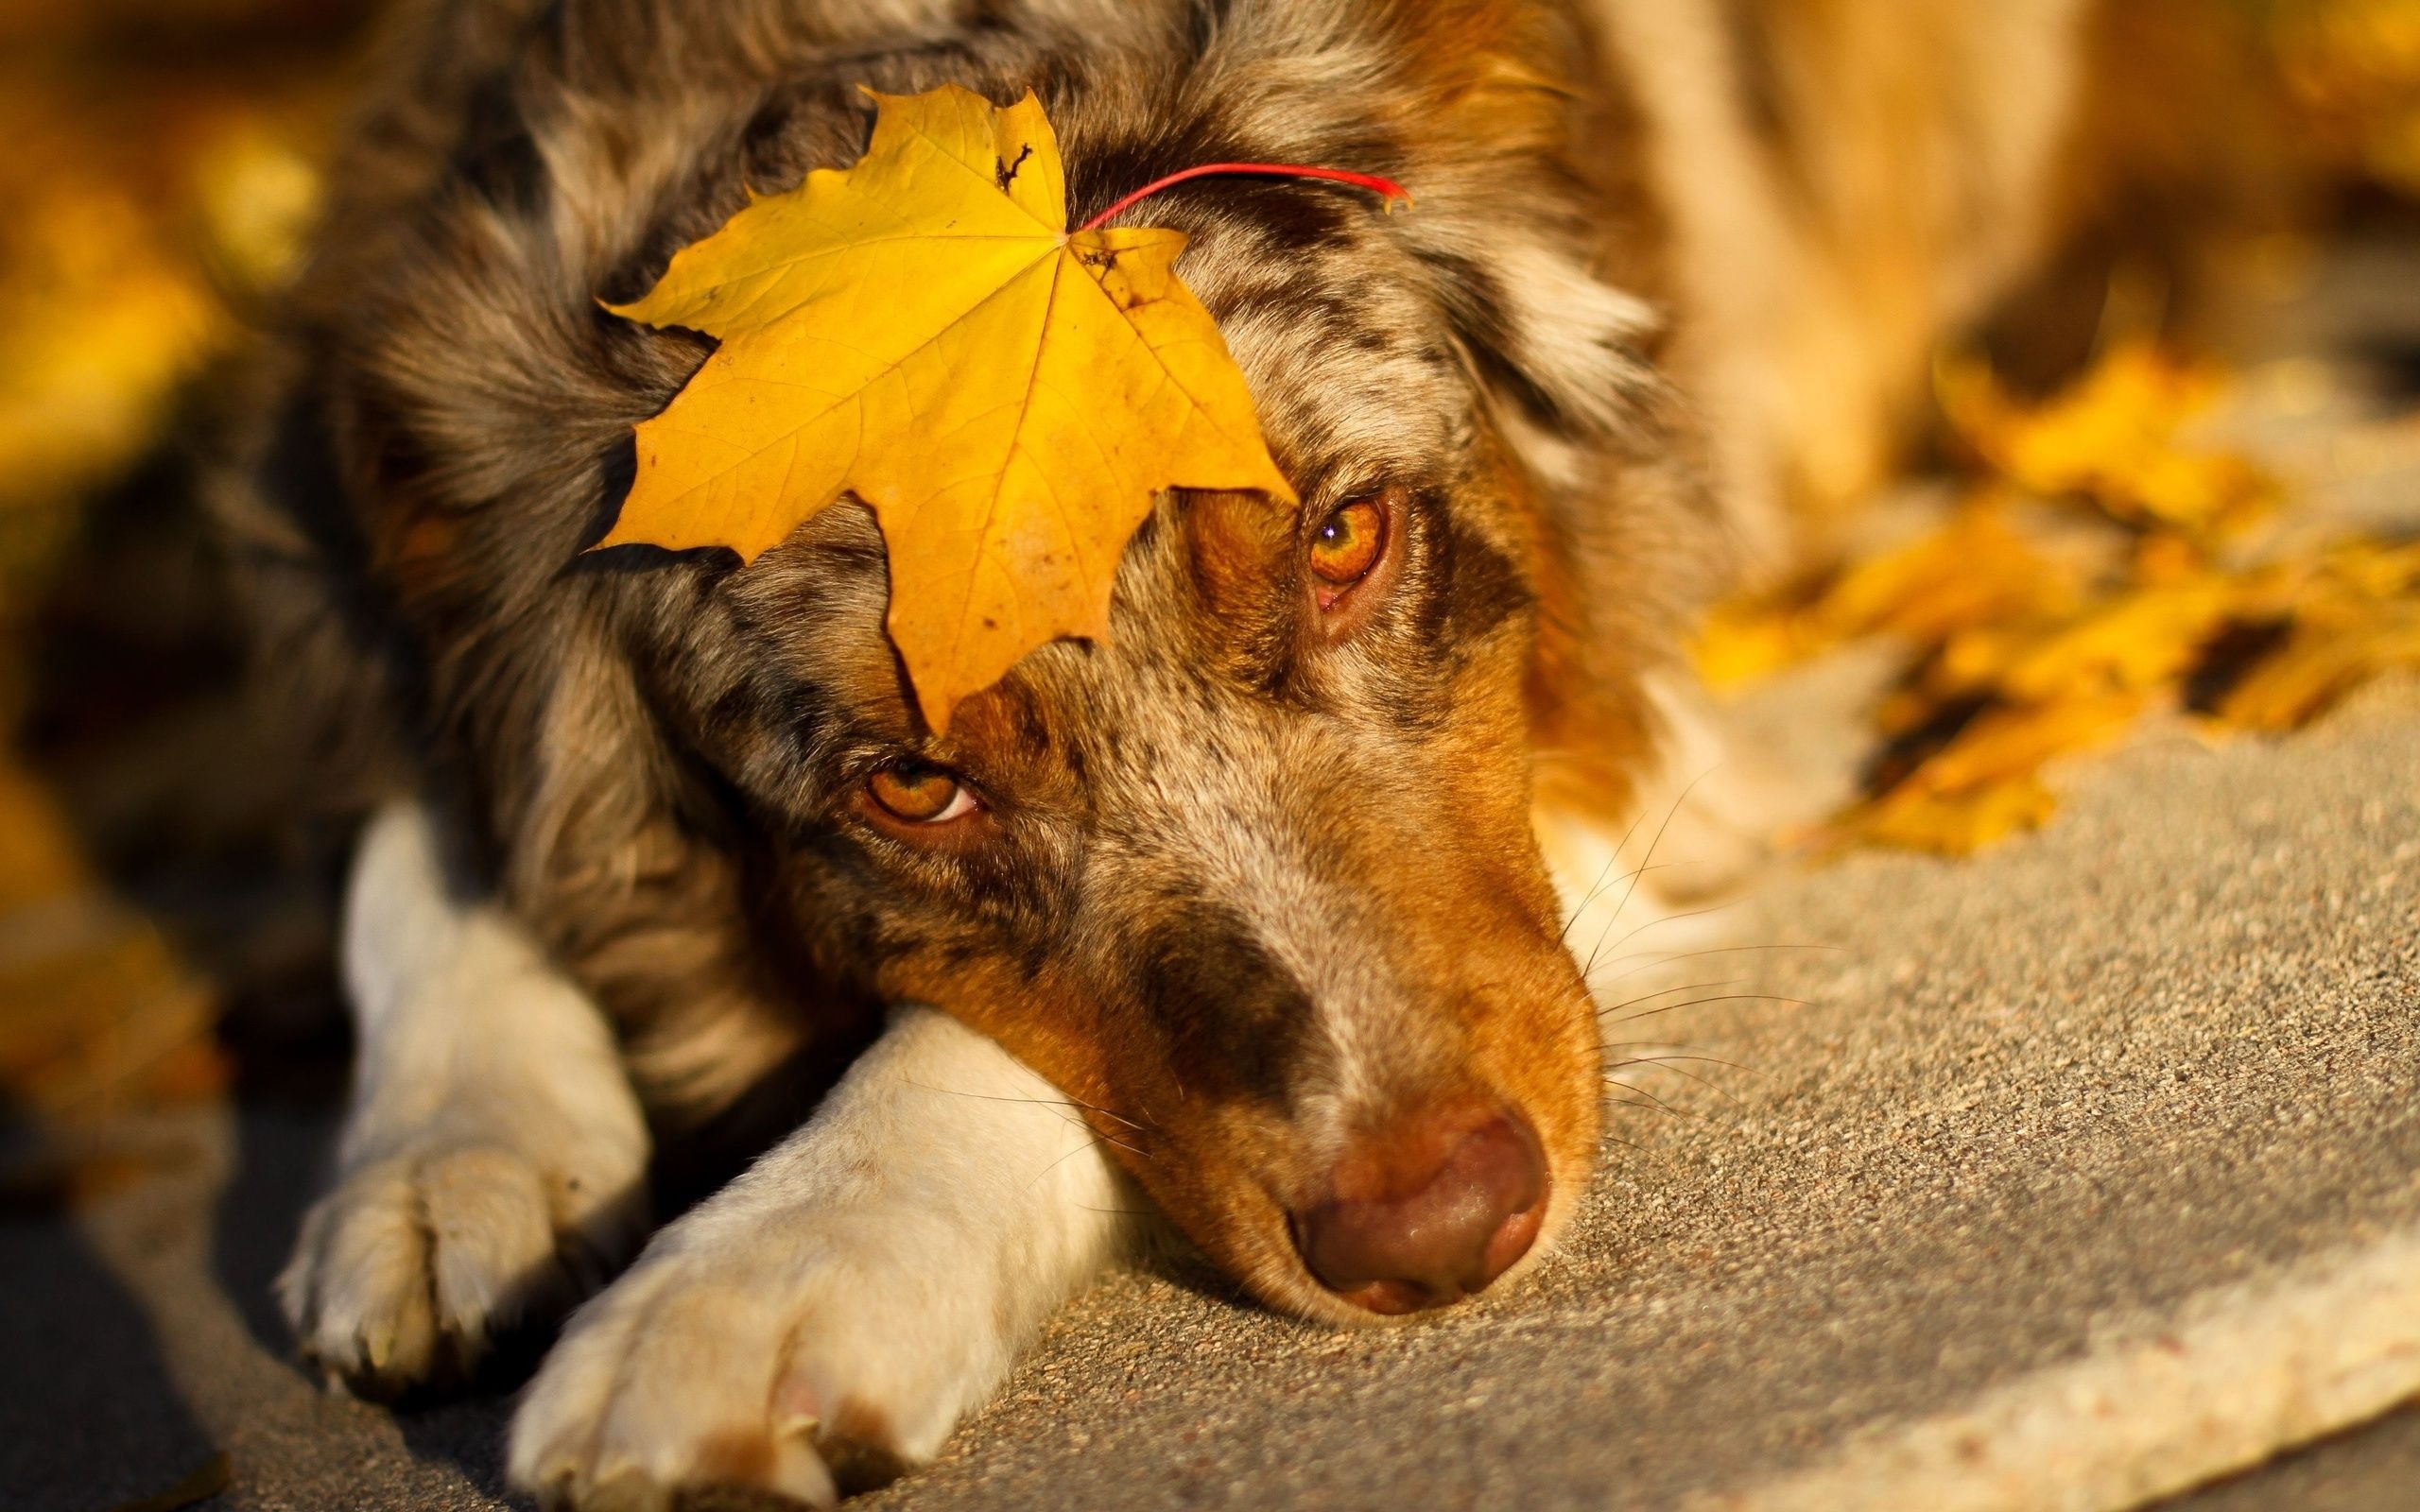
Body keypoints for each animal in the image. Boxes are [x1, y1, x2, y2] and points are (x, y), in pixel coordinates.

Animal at [213, 0, 2265, 1500]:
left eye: (1342, 540)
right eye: (911, 783)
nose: (1446, 1233)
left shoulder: (1628, 727)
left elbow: (945, 1047)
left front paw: (761, 1274)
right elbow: (424, 834)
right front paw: (450, 1150)